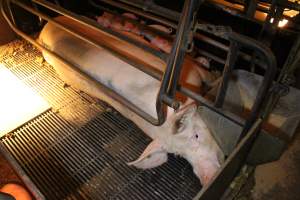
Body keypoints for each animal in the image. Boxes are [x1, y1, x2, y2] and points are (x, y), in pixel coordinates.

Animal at [38, 15, 224, 186]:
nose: (208, 178)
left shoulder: (190, 71)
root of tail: (46, 27)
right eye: (179, 155)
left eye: (196, 135)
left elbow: (207, 75)